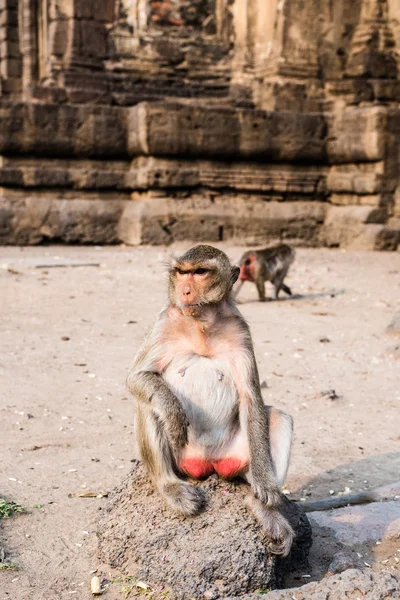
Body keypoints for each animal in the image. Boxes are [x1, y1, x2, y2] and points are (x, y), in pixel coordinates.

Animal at [126, 244, 296, 556]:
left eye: (200, 272)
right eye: (181, 273)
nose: (185, 291)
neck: (201, 323)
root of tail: (210, 465)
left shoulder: (241, 330)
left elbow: (251, 399)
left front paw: (266, 487)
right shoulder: (164, 321)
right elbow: (137, 377)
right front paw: (173, 413)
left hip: (239, 457)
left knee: (278, 416)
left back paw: (262, 508)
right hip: (182, 460)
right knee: (148, 406)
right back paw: (169, 486)